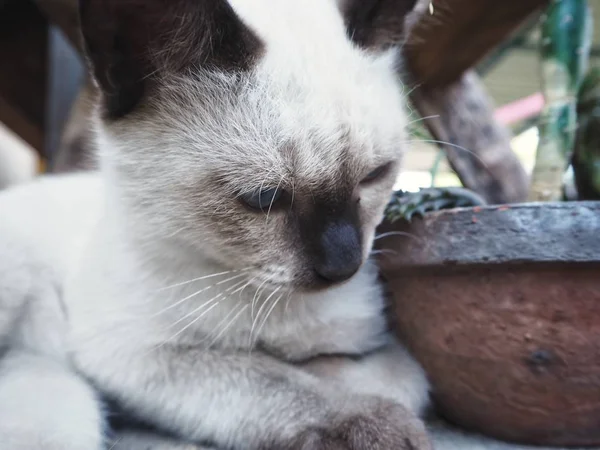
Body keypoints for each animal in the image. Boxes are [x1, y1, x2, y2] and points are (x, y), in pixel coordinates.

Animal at [0, 0, 436, 450]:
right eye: (264, 198)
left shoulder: (374, 346)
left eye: (375, 175)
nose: (343, 265)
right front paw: (372, 423)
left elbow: (401, 377)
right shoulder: (135, 351)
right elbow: (274, 380)